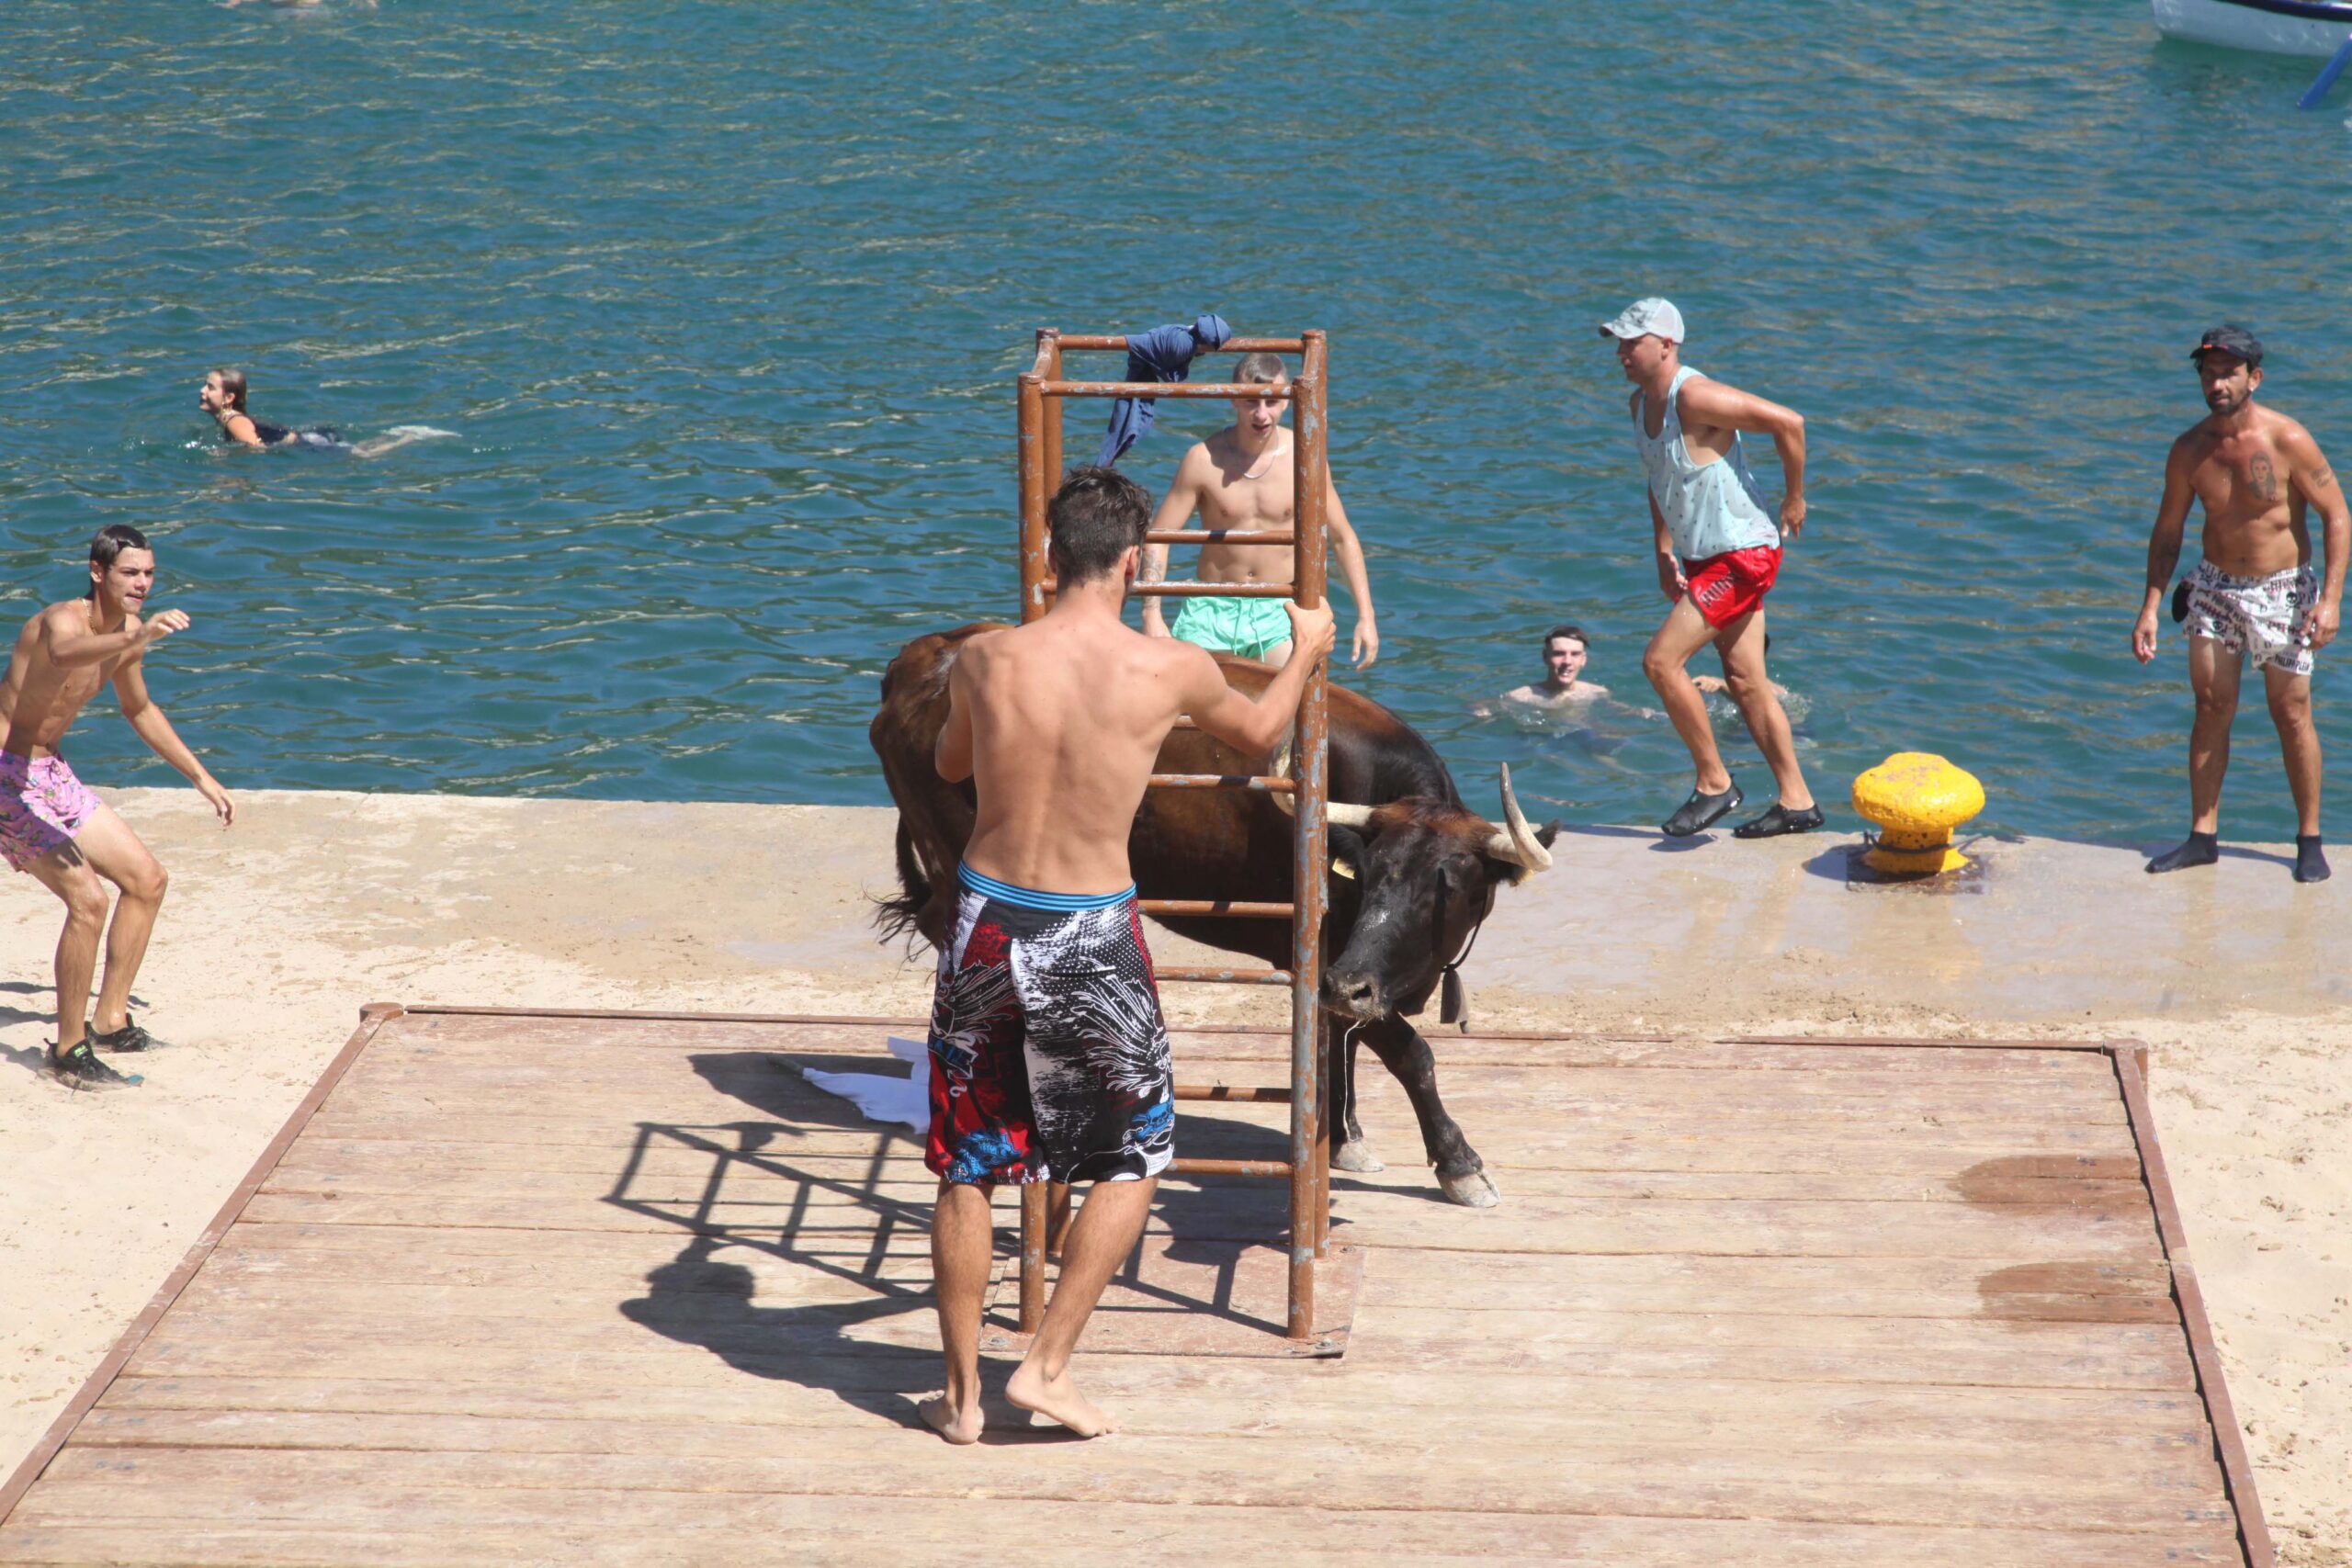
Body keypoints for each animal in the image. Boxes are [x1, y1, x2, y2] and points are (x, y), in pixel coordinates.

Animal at [870, 620, 1561, 1213]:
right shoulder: (1326, 960)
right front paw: (1459, 1164)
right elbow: (1407, 1052)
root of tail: (928, 652)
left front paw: (1342, 1135)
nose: (1353, 983)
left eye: (1451, 884)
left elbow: (1341, 1036)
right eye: (1371, 873)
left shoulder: (1346, 967)